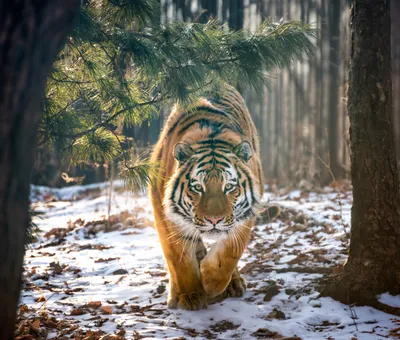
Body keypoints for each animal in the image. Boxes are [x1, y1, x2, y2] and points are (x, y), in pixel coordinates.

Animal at [150, 83, 278, 310]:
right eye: (197, 187)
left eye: (229, 186)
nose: (214, 220)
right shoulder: (165, 215)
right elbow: (178, 258)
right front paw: (190, 296)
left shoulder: (245, 216)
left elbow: (228, 254)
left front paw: (210, 282)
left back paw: (233, 283)